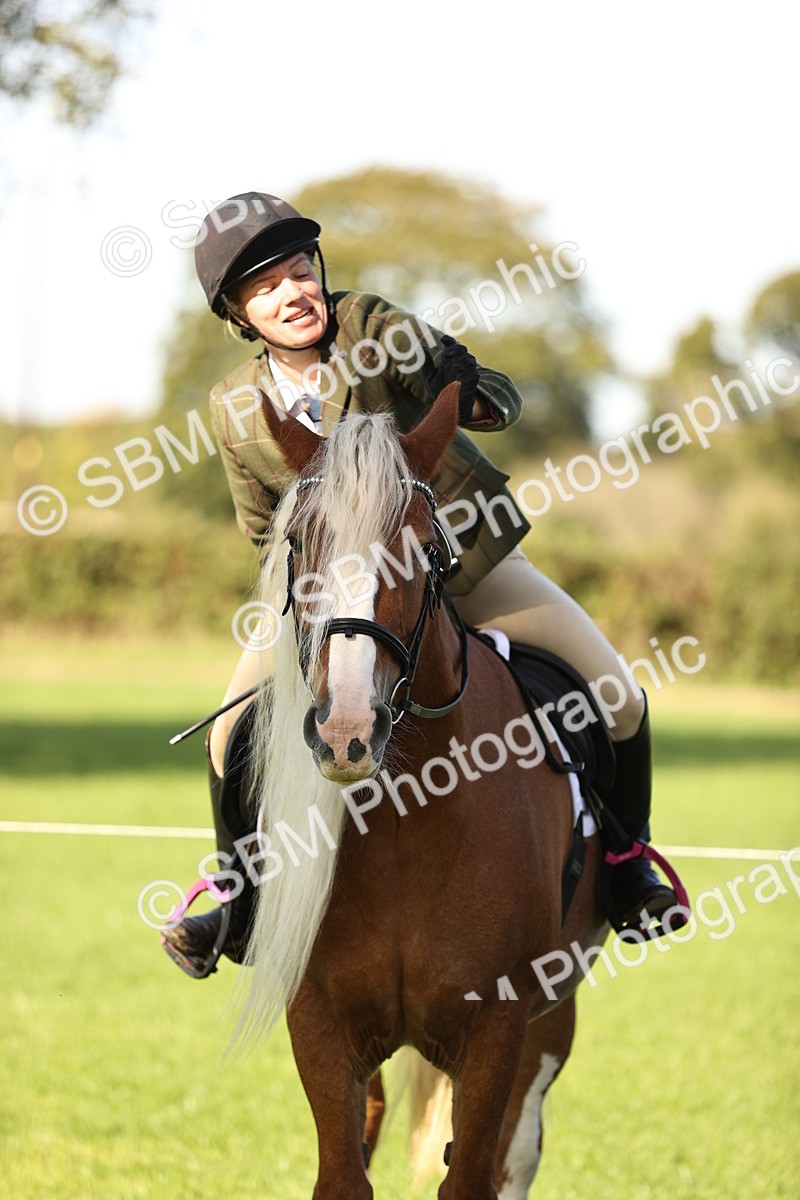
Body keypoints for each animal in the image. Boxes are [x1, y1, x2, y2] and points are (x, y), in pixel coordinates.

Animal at [236, 381, 610, 1199]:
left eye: (420, 547)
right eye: (299, 541)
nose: (347, 728)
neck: (409, 821)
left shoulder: (499, 1027)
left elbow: (472, 1174)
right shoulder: (319, 1020)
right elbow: (343, 1174)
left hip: (550, 1023)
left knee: (518, 1150)